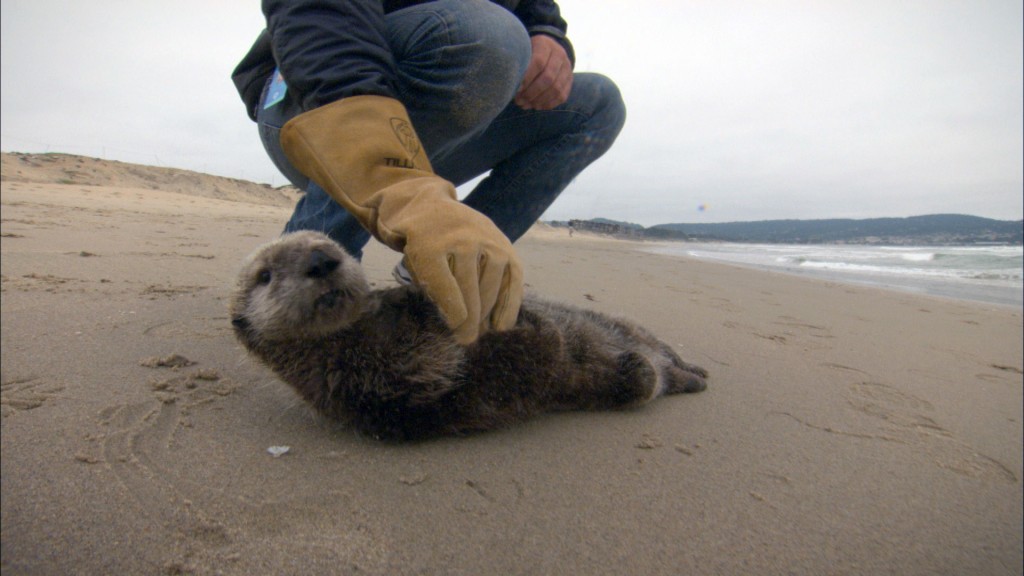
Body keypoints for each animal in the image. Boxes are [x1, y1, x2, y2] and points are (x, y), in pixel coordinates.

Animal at [230, 231, 707, 441]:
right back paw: (678, 376)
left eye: (334, 246)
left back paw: (694, 368)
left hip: (631, 325)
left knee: (659, 351)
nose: (320, 259)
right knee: (644, 377)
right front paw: (530, 326)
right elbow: (522, 359)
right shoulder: (394, 386)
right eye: (265, 276)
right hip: (630, 374)